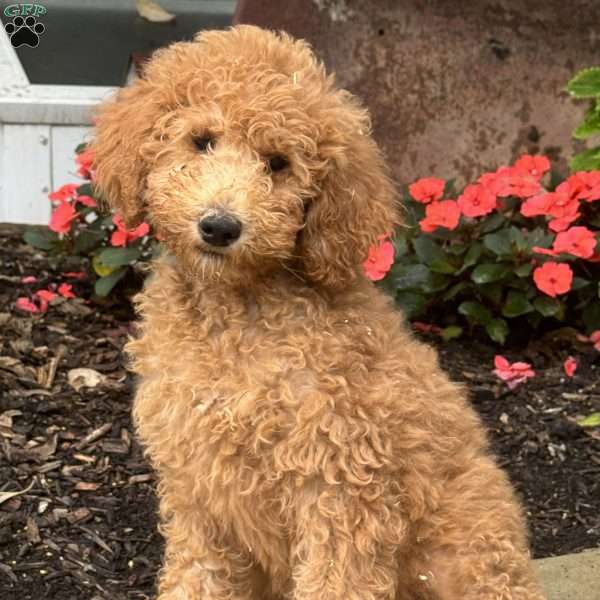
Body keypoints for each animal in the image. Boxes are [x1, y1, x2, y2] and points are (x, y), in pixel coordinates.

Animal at [91, 24, 548, 600]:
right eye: (202, 140)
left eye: (278, 163)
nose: (220, 226)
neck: (234, 319)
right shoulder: (199, 495)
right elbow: (199, 576)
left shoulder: (341, 487)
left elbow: (337, 580)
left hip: (463, 549)